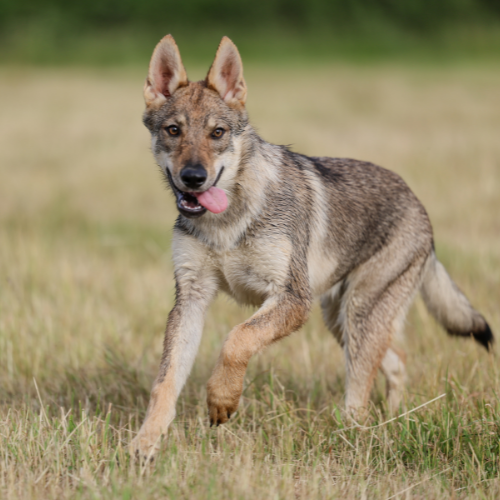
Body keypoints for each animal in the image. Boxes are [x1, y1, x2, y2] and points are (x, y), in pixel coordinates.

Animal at [129, 33, 492, 458]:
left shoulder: (292, 300)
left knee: (361, 391)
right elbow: (166, 382)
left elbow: (236, 340)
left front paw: (222, 400)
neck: (227, 222)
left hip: (357, 316)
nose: (193, 177)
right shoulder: (191, 298)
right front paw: (145, 444)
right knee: (397, 361)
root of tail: (420, 206)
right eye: (173, 130)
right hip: (341, 320)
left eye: (217, 133)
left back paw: (355, 436)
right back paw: (393, 420)